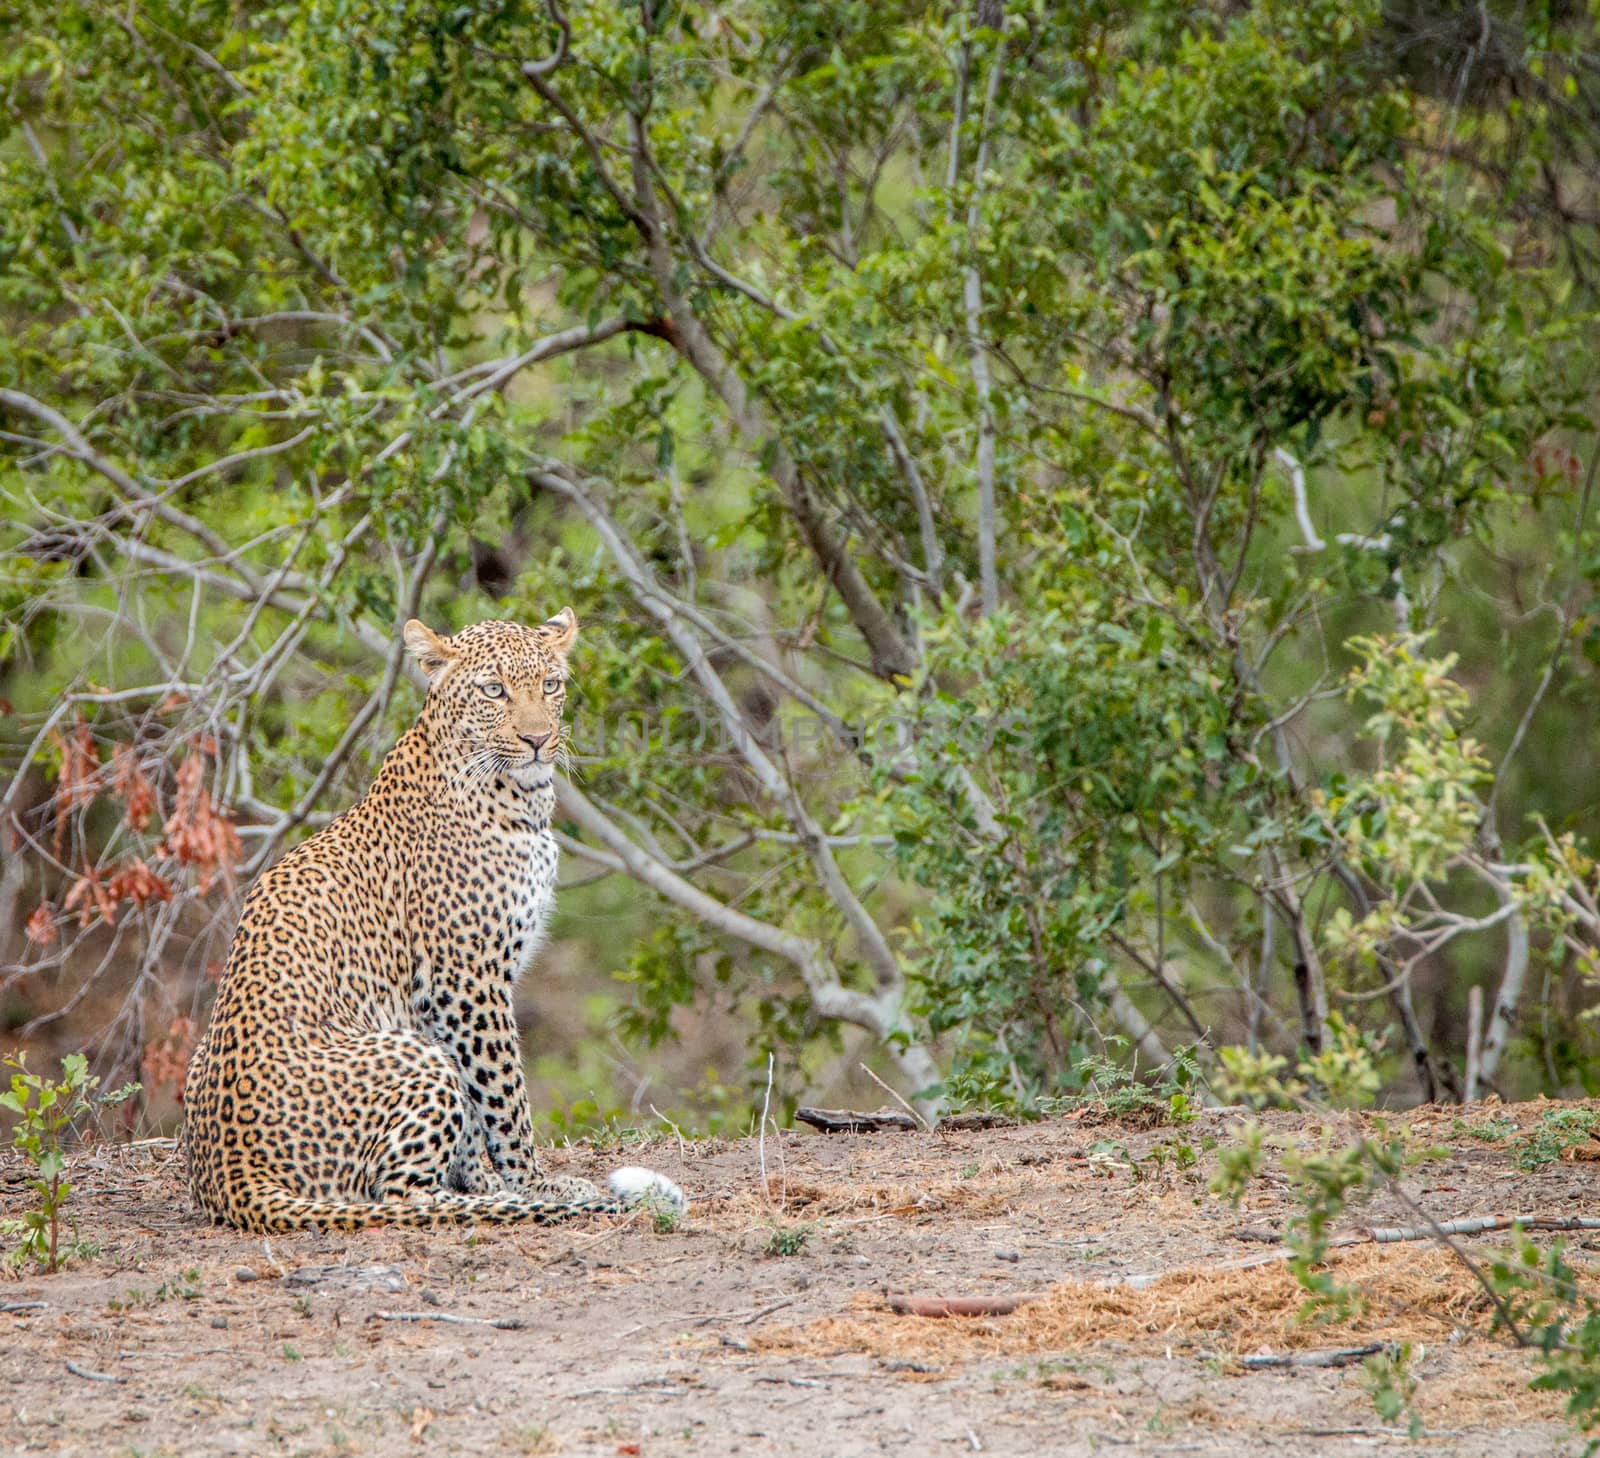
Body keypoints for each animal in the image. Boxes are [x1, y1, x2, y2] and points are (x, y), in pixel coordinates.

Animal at [184, 608, 684, 1229]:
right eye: (493, 691)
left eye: (551, 685)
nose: (538, 740)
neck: (521, 798)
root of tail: (235, 1178)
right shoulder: (468, 981)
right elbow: (504, 1095)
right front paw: (532, 1184)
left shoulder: (439, 1002)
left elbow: (475, 1111)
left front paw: (488, 1179)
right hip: (412, 1057)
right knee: (400, 1196)